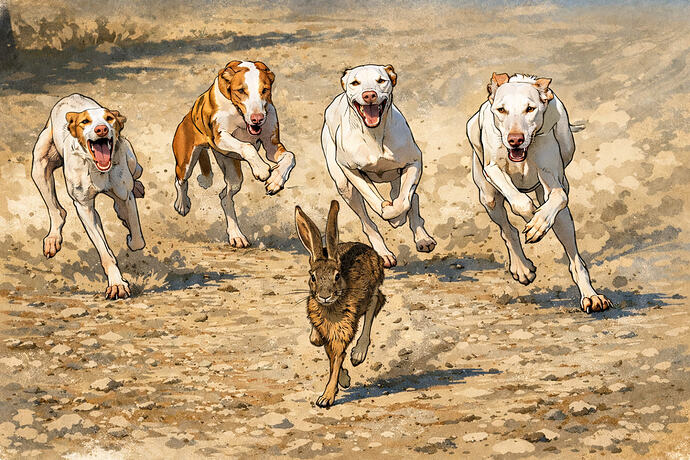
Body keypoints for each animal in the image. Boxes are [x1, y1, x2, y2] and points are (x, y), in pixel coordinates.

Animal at [295, 200, 386, 408]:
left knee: (375, 305)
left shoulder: (342, 332)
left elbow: (337, 360)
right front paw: (343, 381)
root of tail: (370, 250)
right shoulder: (328, 334)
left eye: (337, 276)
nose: (324, 296)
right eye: (313, 276)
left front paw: (326, 397)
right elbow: (330, 356)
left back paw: (358, 354)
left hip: (372, 291)